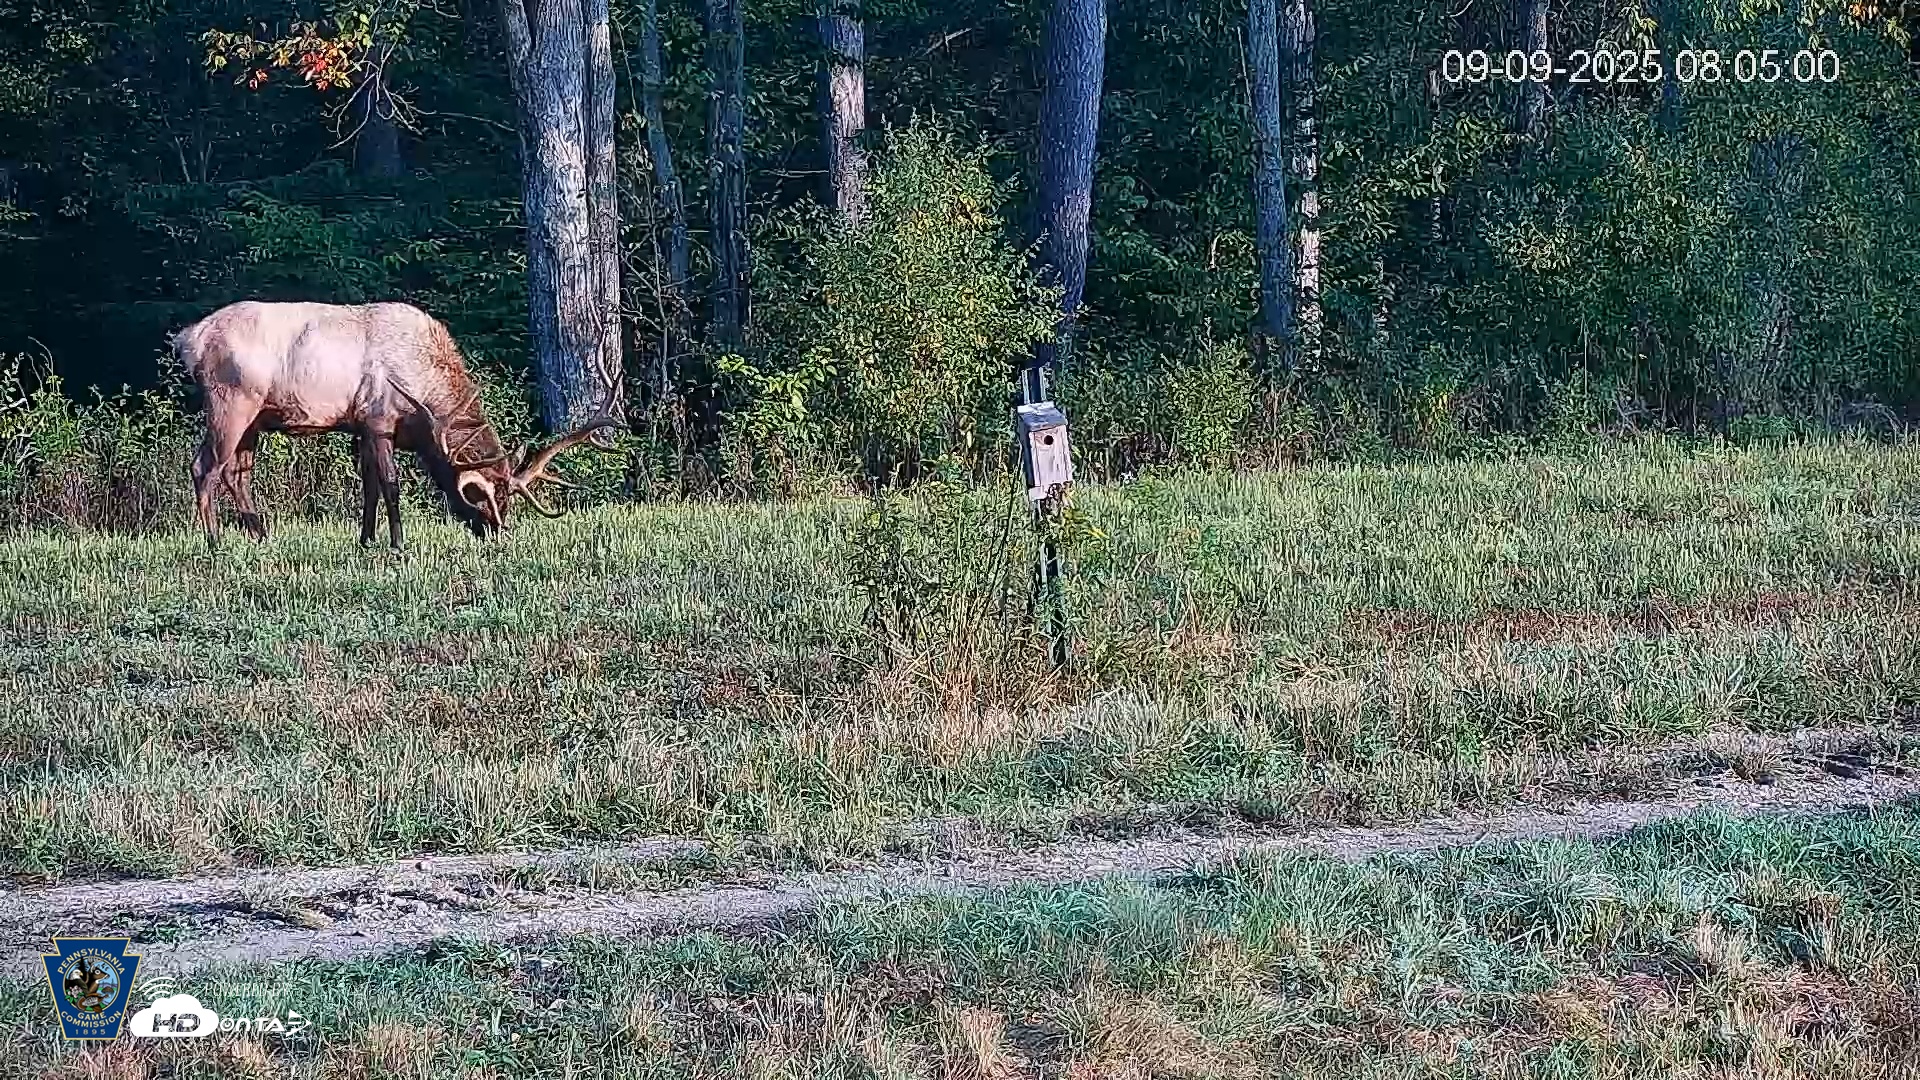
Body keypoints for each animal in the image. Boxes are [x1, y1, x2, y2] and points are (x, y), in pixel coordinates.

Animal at [173, 300, 617, 549]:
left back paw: (260, 535)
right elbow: (390, 483)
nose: (497, 534)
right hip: (230, 402)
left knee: (236, 472)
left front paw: (366, 540)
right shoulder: (378, 419)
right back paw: (214, 541)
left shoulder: (359, 426)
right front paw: (397, 544)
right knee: (204, 467)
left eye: (508, 500)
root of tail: (188, 338)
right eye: (481, 499)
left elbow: (368, 484)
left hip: (255, 417)